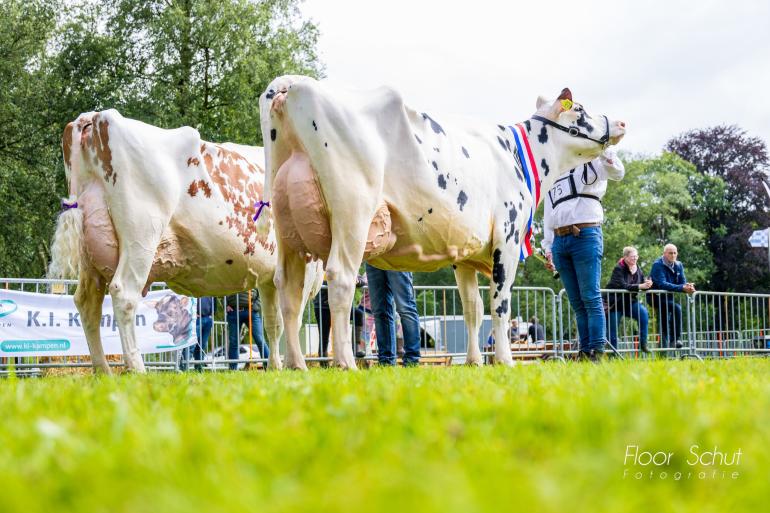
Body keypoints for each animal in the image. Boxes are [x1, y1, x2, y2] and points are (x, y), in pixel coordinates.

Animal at [48, 109, 320, 372]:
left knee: (87, 303)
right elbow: (292, 314)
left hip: (90, 248)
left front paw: (275, 367)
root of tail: (93, 117)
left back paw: (102, 369)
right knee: (124, 293)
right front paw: (296, 365)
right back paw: (136, 368)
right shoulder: (302, 263)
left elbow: (274, 323)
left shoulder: (267, 275)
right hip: (141, 235)